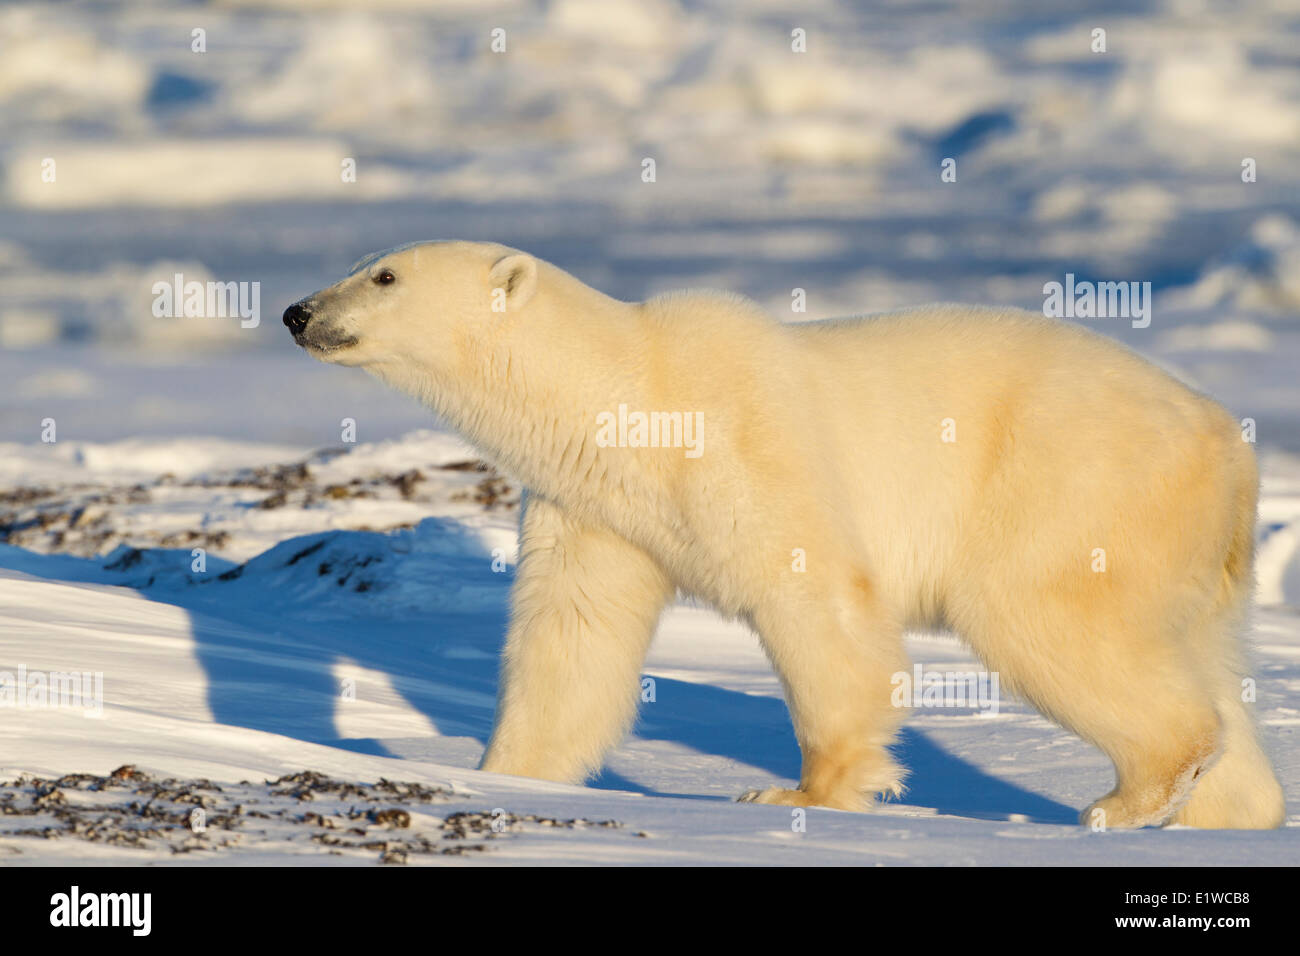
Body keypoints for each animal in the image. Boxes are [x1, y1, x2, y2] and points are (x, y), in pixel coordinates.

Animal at [279, 240, 1284, 832]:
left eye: (383, 274)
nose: (295, 311)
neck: (631, 392)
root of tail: (1229, 443)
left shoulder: (742, 439)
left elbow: (812, 595)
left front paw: (805, 792)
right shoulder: (597, 505)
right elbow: (571, 639)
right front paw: (502, 773)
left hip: (1074, 484)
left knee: (1043, 618)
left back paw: (1126, 799)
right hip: (1190, 551)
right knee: (1198, 662)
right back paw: (1228, 812)